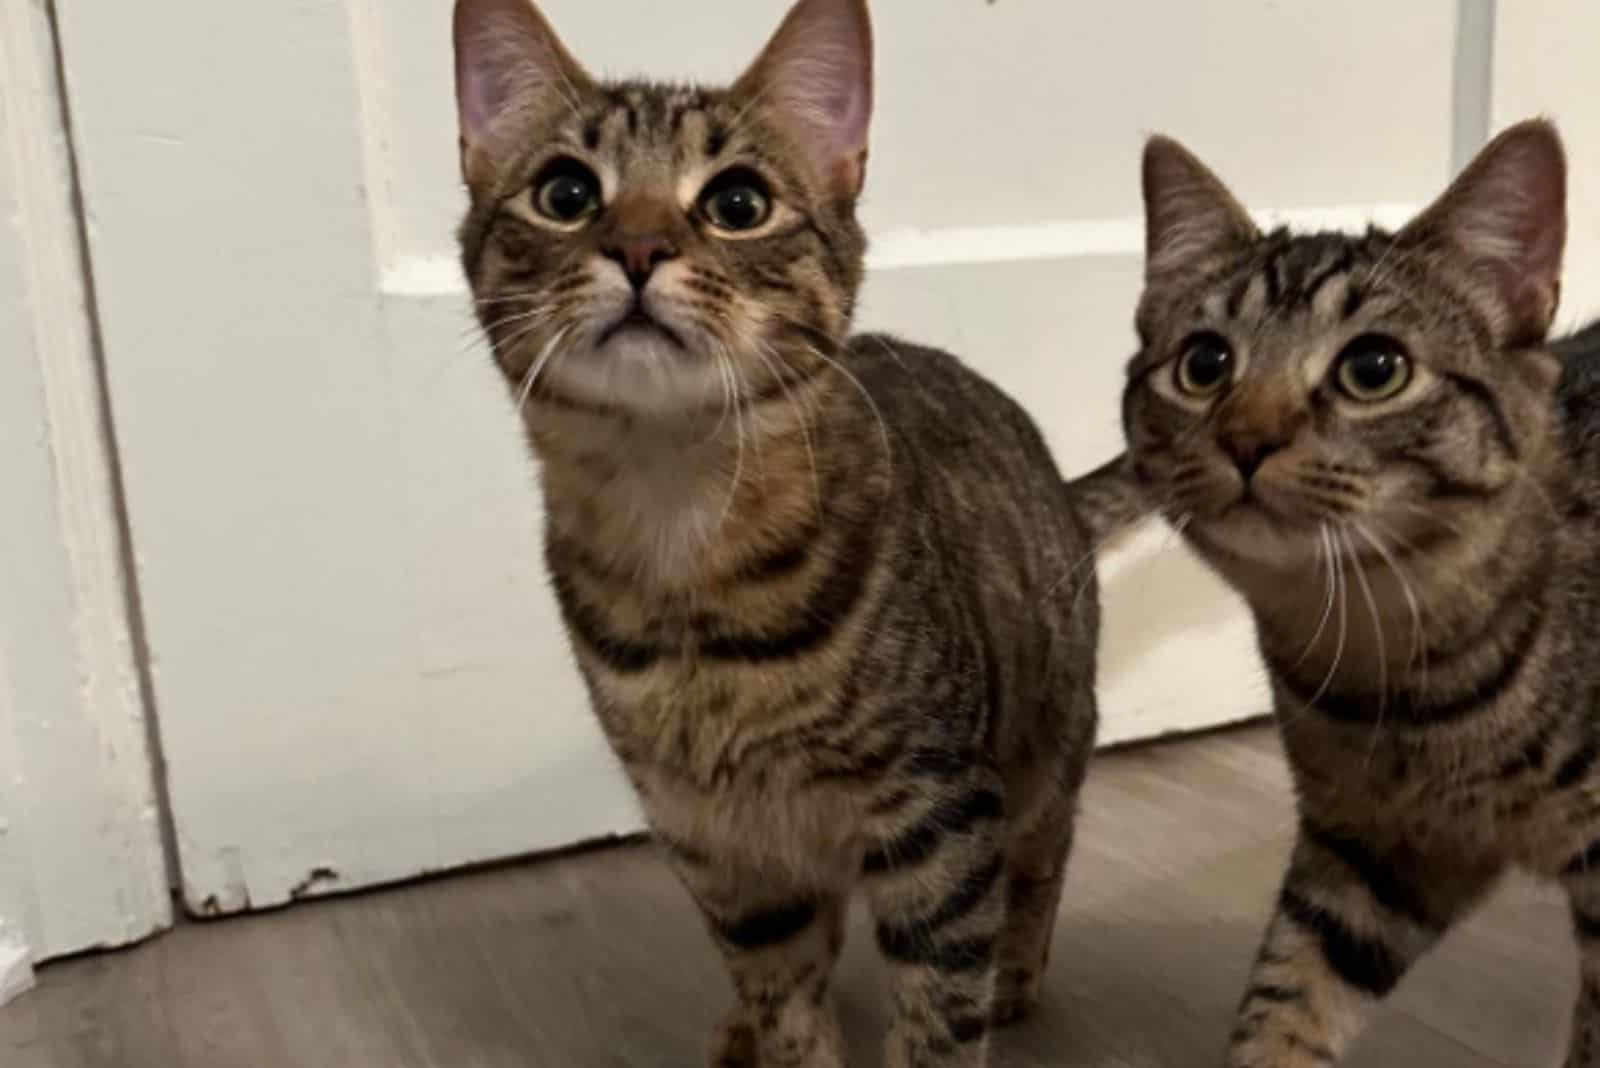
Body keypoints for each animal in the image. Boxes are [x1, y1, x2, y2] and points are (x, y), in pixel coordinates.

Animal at [448, 4, 1100, 1061]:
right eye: (567, 192)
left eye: (738, 202)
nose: (637, 249)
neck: (677, 524)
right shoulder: (717, 846)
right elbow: (787, 998)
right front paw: (775, 1033)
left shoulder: (940, 817)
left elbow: (938, 1013)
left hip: (1044, 743)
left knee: (1045, 853)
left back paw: (1019, 970)